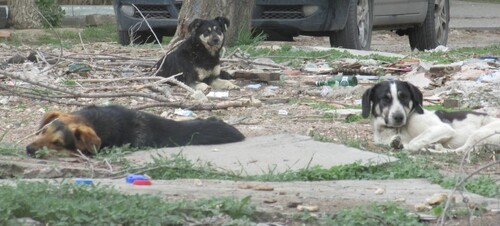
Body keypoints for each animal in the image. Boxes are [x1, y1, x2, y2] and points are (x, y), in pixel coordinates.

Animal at [362, 81, 498, 154]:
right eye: (385, 99)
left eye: (404, 97)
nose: (399, 117)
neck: (399, 129)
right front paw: (396, 142)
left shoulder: (443, 128)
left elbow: (413, 142)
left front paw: (406, 145)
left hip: (479, 134)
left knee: (460, 151)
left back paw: (431, 148)